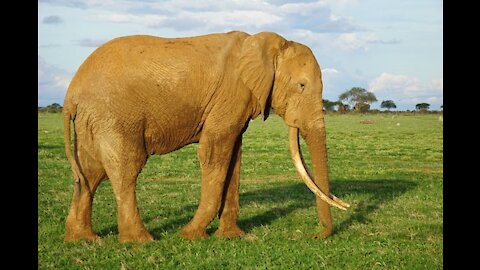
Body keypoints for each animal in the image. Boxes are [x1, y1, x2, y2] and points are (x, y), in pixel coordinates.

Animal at [62, 30, 348, 242]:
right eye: (301, 85)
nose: (315, 236)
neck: (266, 44)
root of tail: (71, 93)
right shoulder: (232, 94)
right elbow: (214, 150)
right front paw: (191, 235)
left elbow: (233, 157)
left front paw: (231, 236)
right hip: (115, 115)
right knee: (126, 168)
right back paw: (141, 241)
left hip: (93, 119)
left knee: (89, 172)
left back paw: (84, 239)